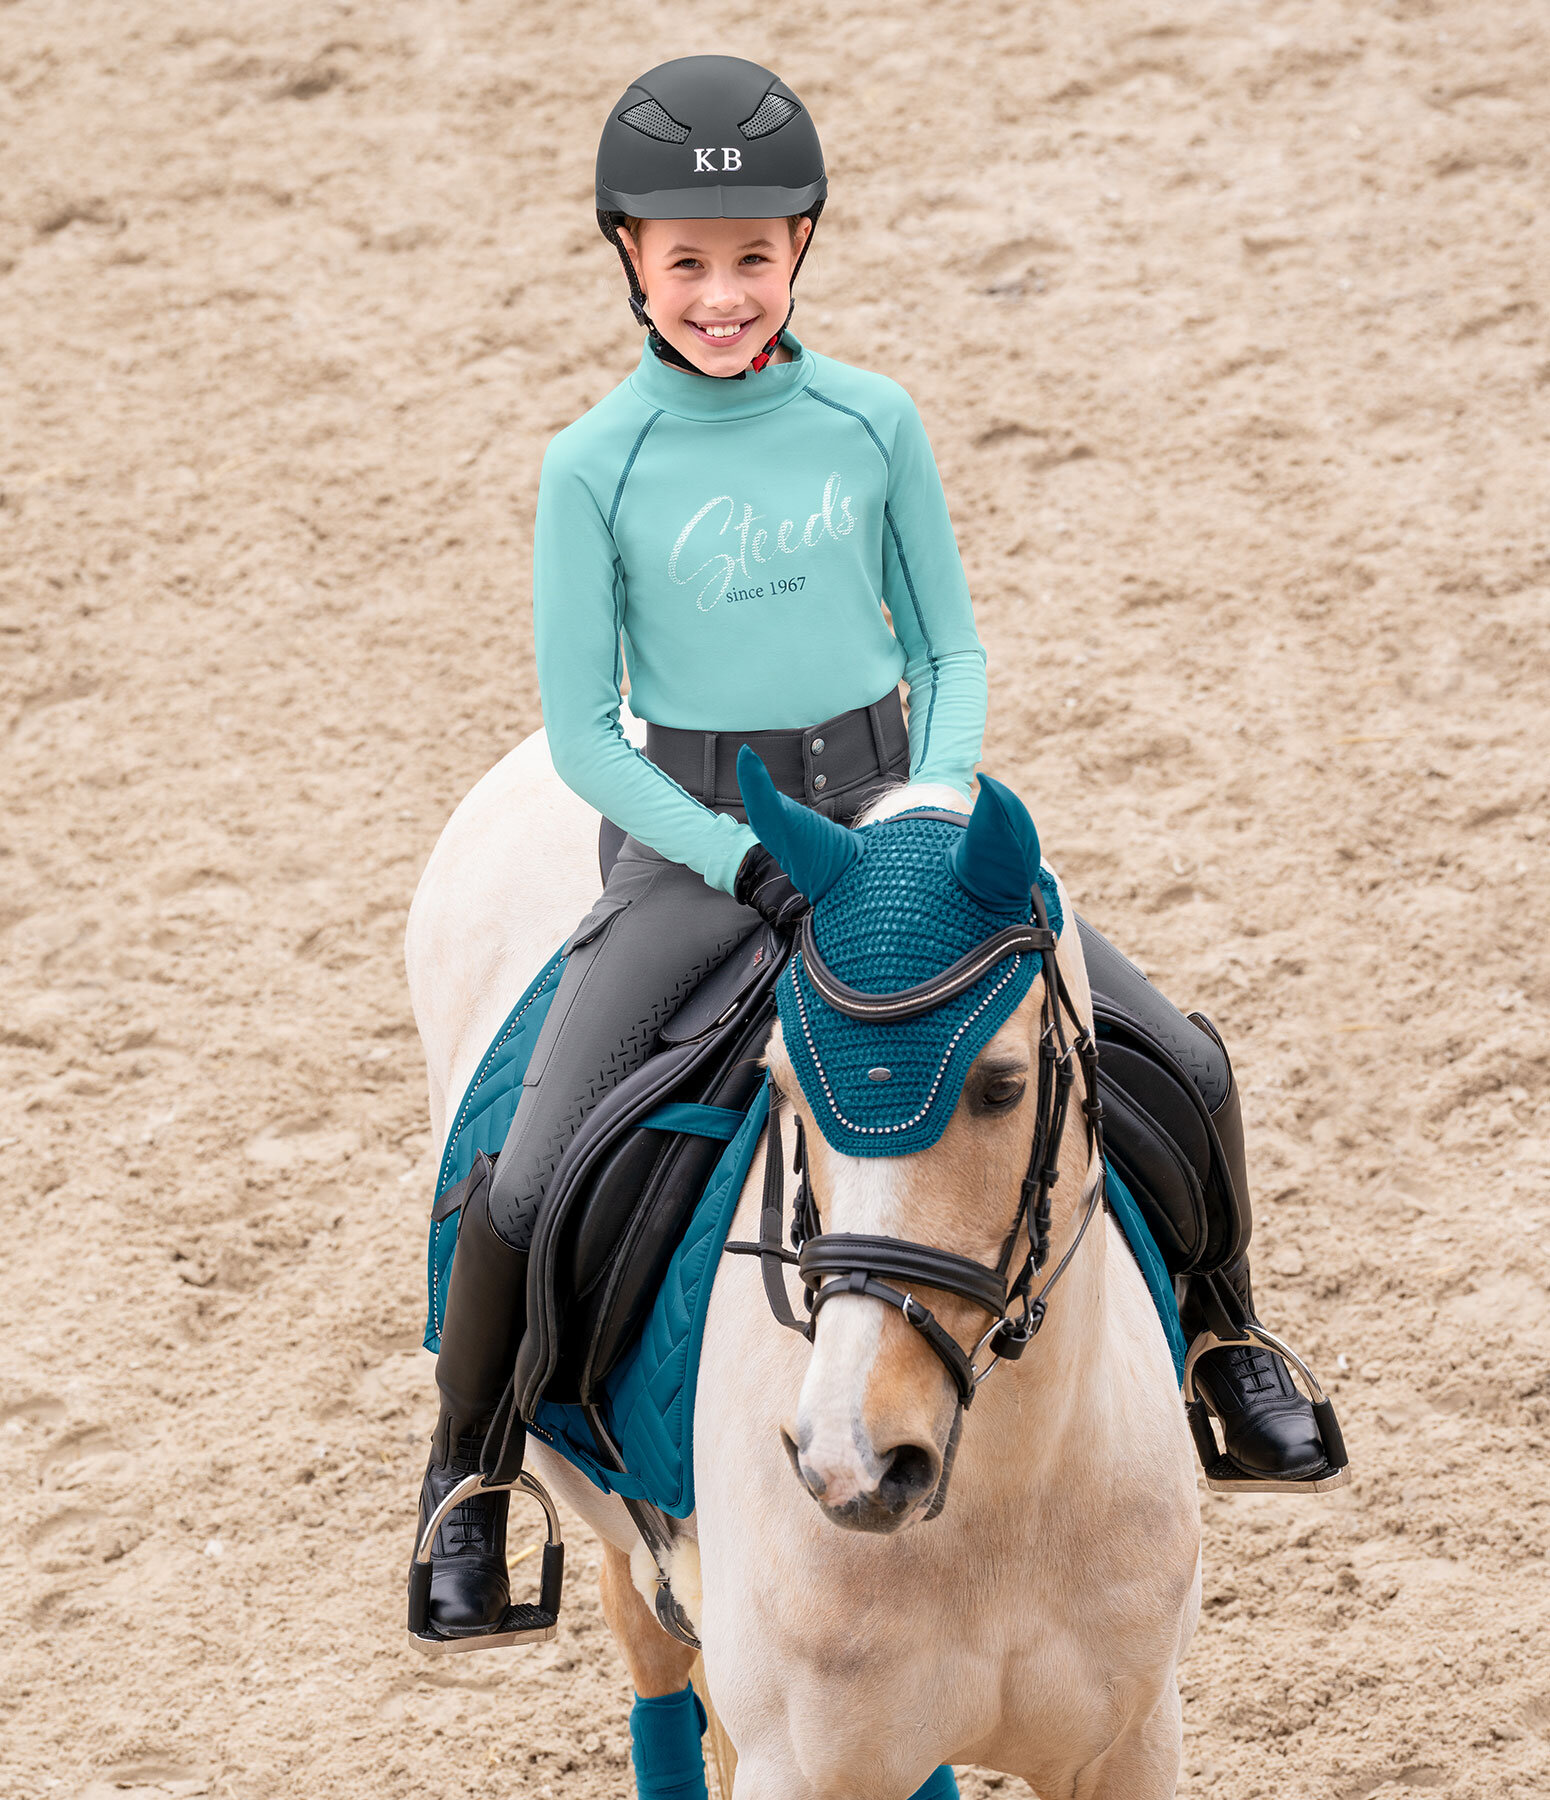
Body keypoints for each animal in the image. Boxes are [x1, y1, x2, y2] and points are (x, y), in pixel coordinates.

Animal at [408, 720, 1195, 1800]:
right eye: (778, 1080)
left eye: (999, 1086)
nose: (851, 1460)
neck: (1005, 1501)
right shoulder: (799, 1763)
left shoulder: (1129, 1746)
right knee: (652, 1651)